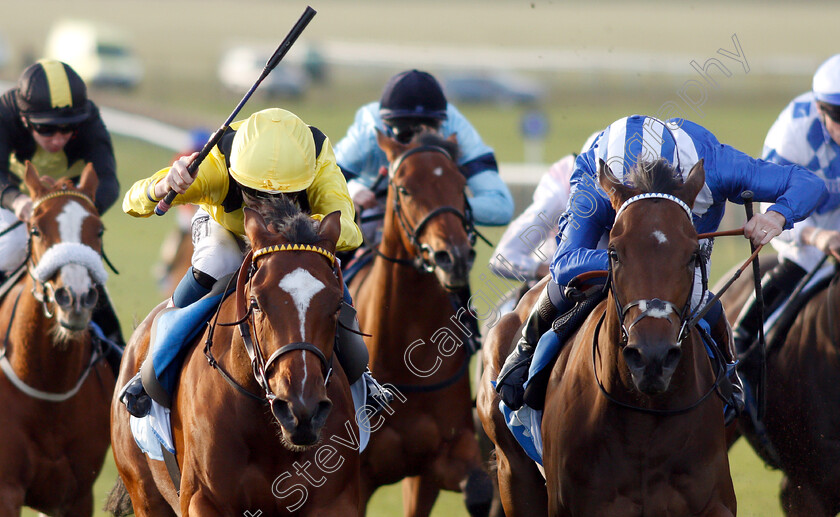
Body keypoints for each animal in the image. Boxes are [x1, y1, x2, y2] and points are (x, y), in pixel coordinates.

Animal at [480, 159, 736, 512]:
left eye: (692, 253)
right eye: (614, 252)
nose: (652, 357)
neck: (645, 418)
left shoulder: (715, 501)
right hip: (513, 473)